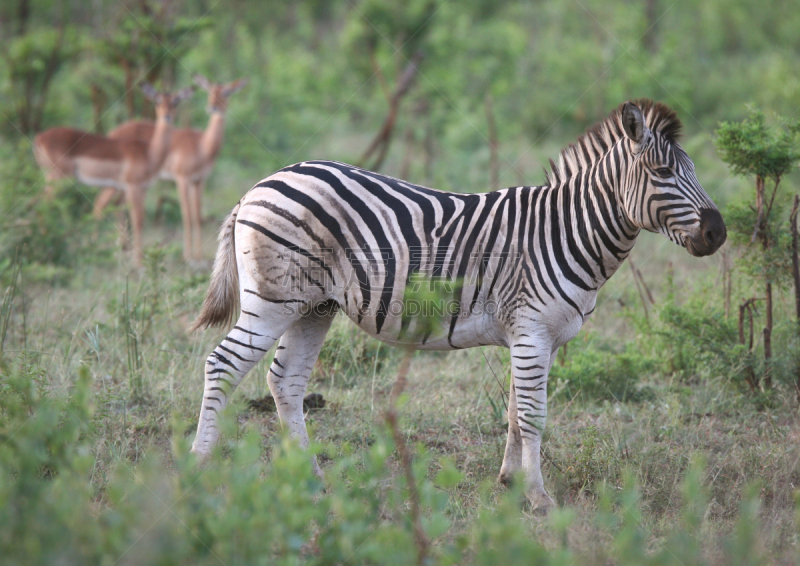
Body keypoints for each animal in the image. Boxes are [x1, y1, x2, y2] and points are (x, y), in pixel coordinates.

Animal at [192, 100, 724, 512]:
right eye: (662, 172)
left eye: (696, 170)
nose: (717, 234)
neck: (565, 231)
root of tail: (259, 184)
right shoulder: (532, 331)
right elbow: (533, 414)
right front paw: (540, 499)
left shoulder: (538, 337)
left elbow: (514, 412)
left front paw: (511, 485)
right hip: (275, 298)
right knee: (222, 364)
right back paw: (198, 467)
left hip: (314, 306)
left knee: (285, 381)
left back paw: (311, 480)